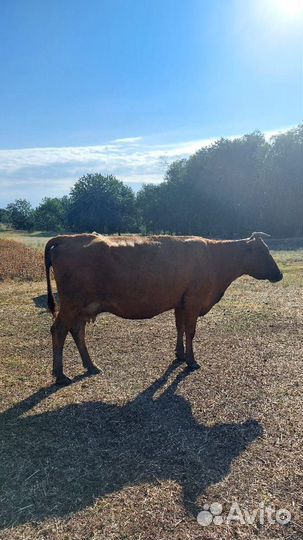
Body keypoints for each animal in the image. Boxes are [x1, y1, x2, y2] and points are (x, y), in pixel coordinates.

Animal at [44, 232, 282, 384]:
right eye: (264, 252)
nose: (279, 275)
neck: (215, 259)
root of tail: (68, 238)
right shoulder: (194, 301)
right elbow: (190, 331)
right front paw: (191, 361)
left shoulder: (181, 302)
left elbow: (180, 328)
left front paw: (180, 355)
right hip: (71, 304)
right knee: (59, 330)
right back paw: (60, 375)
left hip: (81, 307)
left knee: (77, 332)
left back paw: (91, 365)